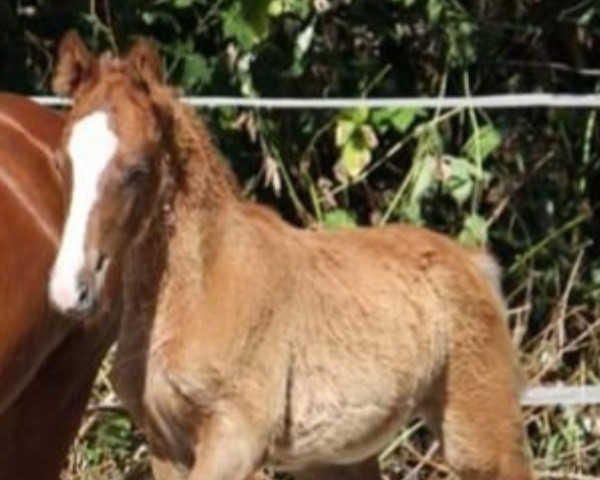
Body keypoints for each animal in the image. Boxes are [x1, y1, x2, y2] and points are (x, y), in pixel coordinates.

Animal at [49, 32, 532, 480]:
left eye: (138, 170)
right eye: (62, 162)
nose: (70, 289)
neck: (200, 287)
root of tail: (471, 262)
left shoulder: (236, 436)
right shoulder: (164, 440)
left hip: (480, 435)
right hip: (340, 456)